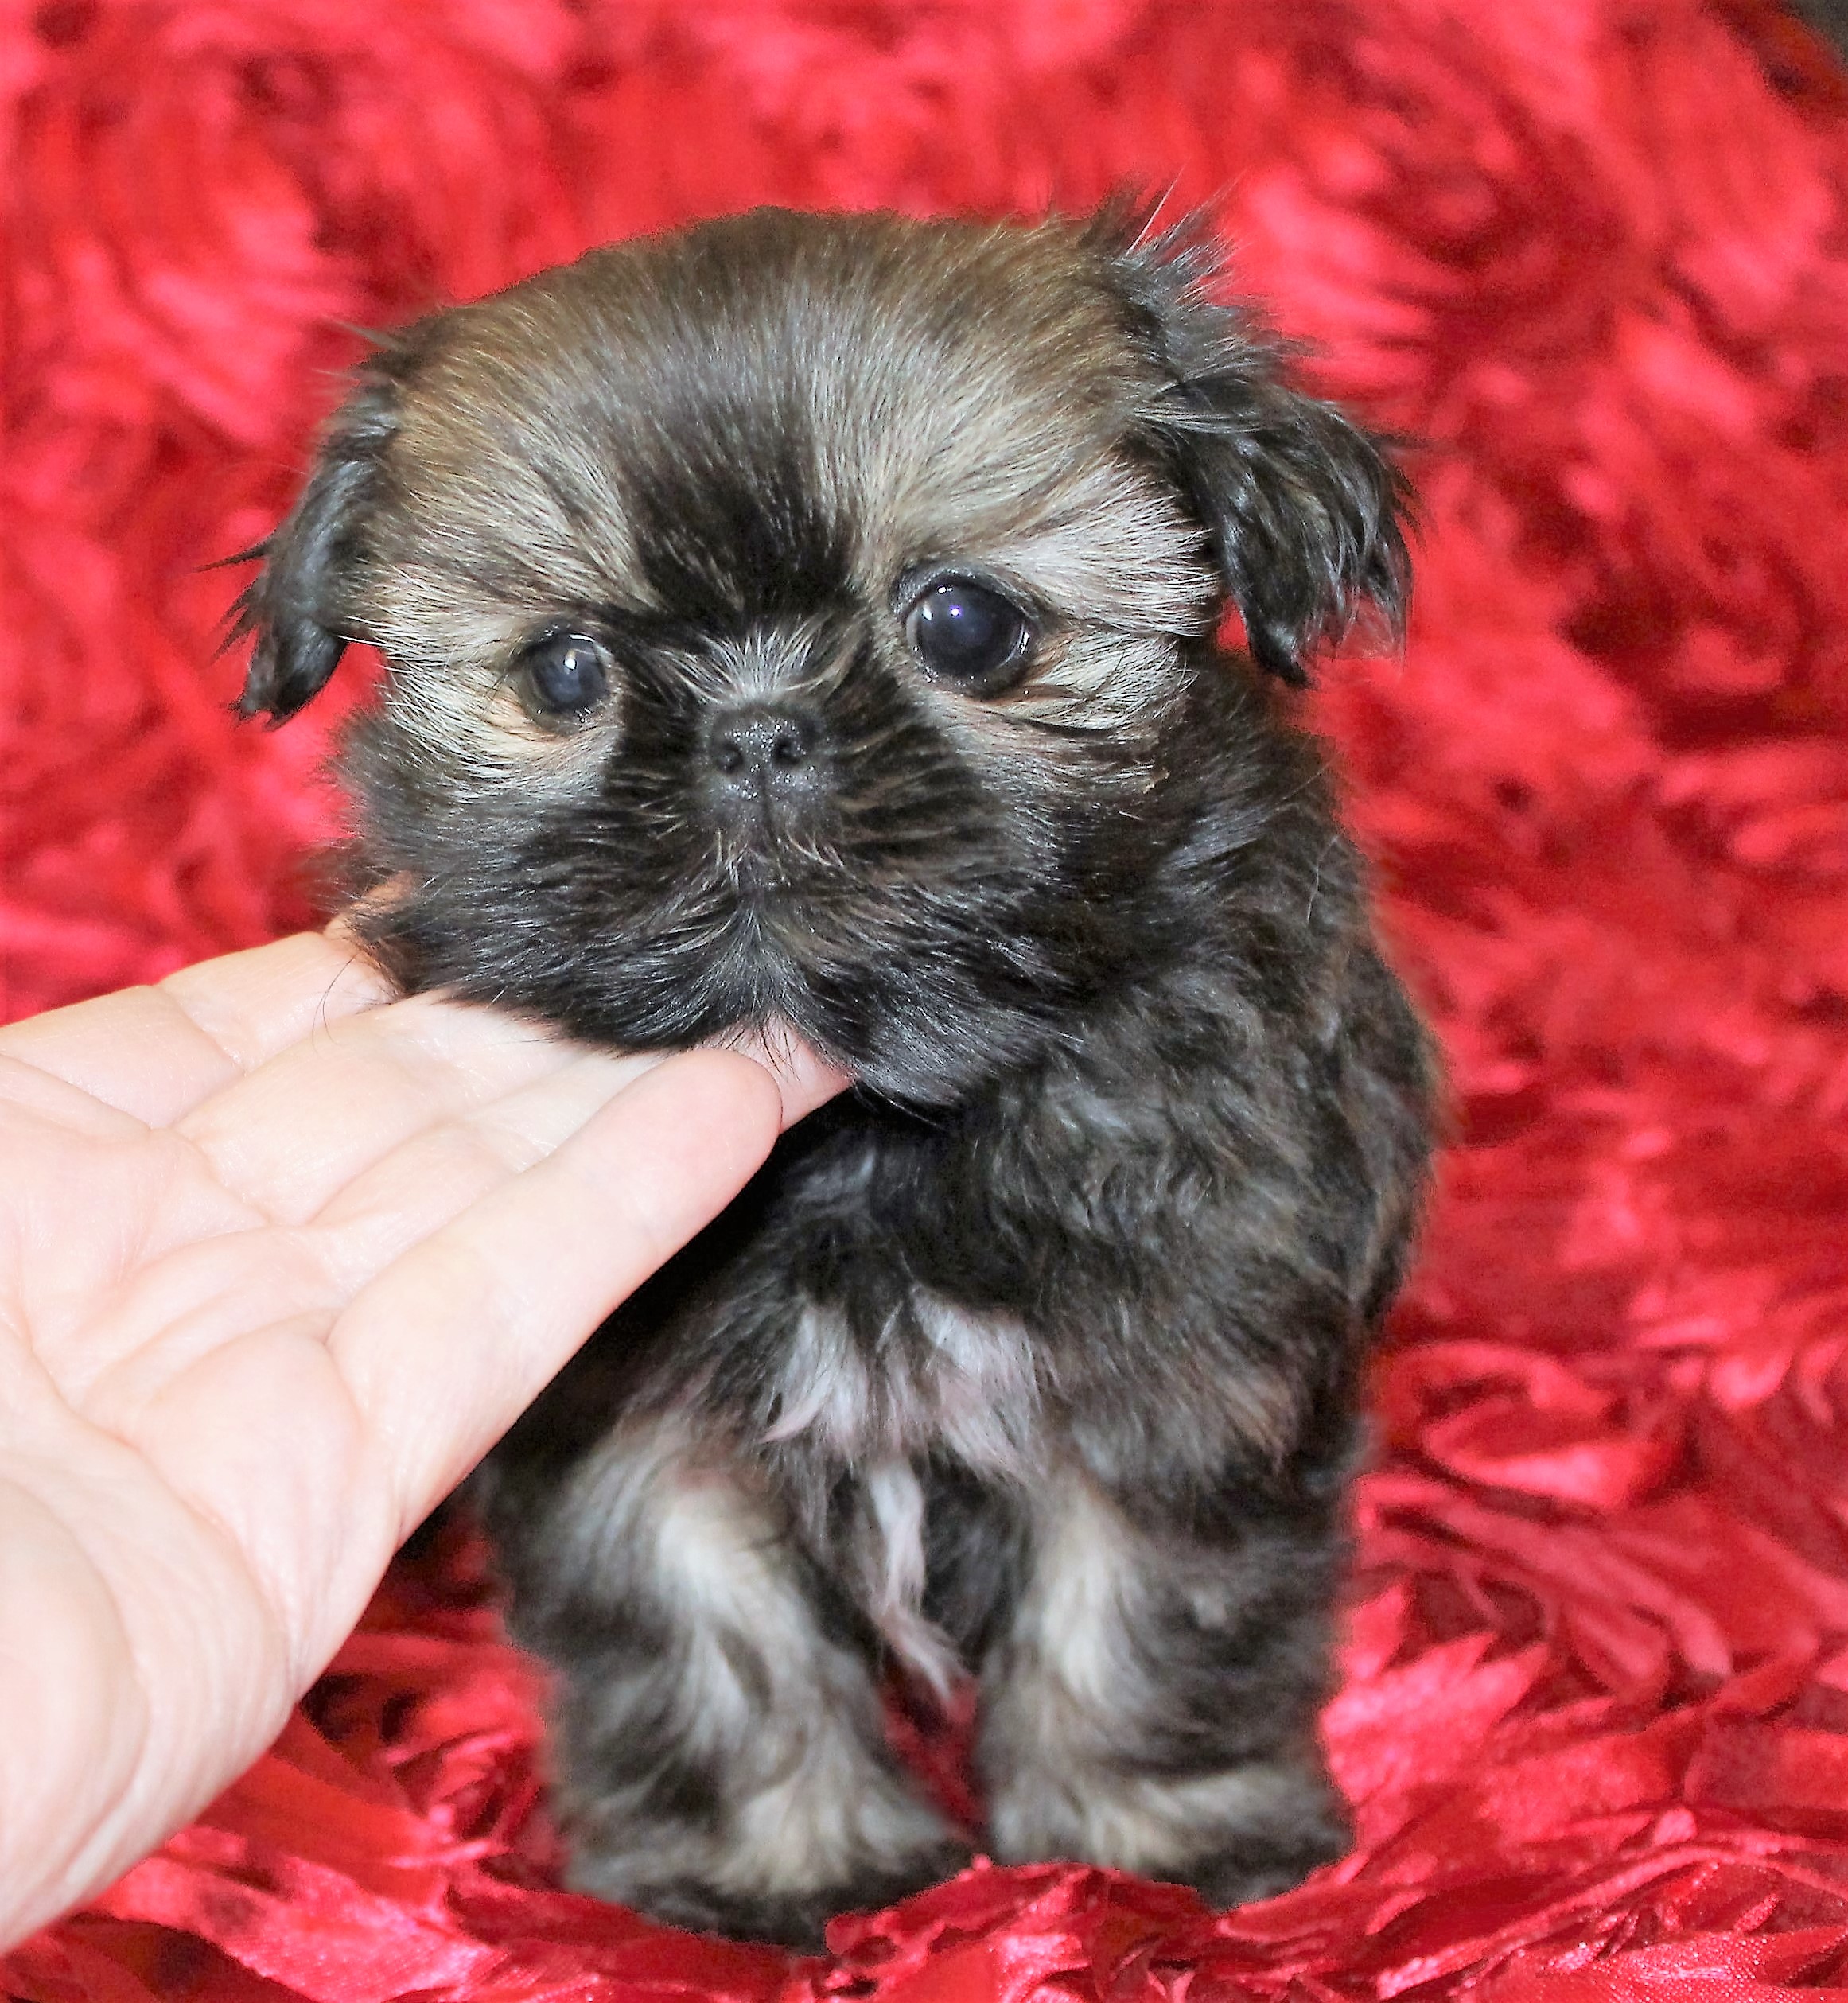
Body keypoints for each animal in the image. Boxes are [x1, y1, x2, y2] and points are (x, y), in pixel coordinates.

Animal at [235, 203, 1441, 1939]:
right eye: (568, 672)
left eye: (966, 623)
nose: (753, 727)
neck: (874, 1125)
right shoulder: (638, 1432)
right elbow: (711, 1639)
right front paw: (771, 1862)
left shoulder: (1177, 1375)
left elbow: (1143, 1613)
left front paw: (1146, 1840)